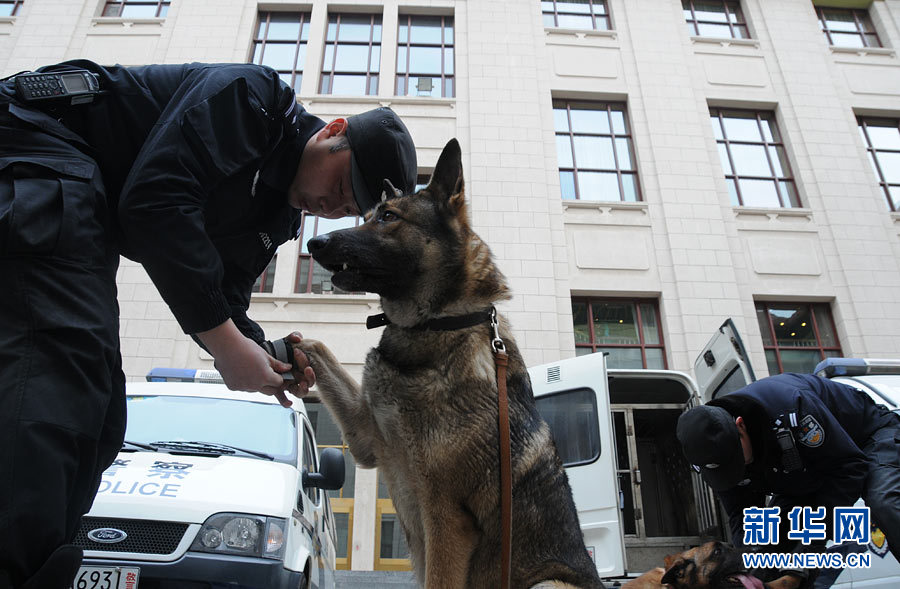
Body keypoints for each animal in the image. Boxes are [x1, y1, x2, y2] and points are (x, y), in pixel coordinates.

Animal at [296, 139, 604, 588]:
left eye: (388, 217)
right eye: (368, 216)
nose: (315, 243)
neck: (439, 324)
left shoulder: (446, 519)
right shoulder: (368, 441)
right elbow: (320, 348)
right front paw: (289, 346)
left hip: (547, 581)